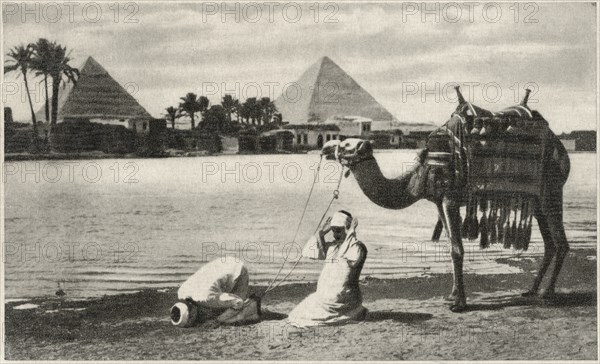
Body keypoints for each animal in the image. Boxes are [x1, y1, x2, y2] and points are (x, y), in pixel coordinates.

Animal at [322, 86, 568, 312]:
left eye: (346, 145)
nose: (325, 148)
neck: (419, 174)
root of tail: (560, 148)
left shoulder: (450, 198)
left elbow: (457, 249)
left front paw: (459, 303)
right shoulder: (439, 202)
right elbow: (451, 244)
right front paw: (452, 295)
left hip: (552, 190)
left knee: (561, 242)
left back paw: (547, 294)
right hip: (538, 201)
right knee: (550, 243)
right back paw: (532, 290)